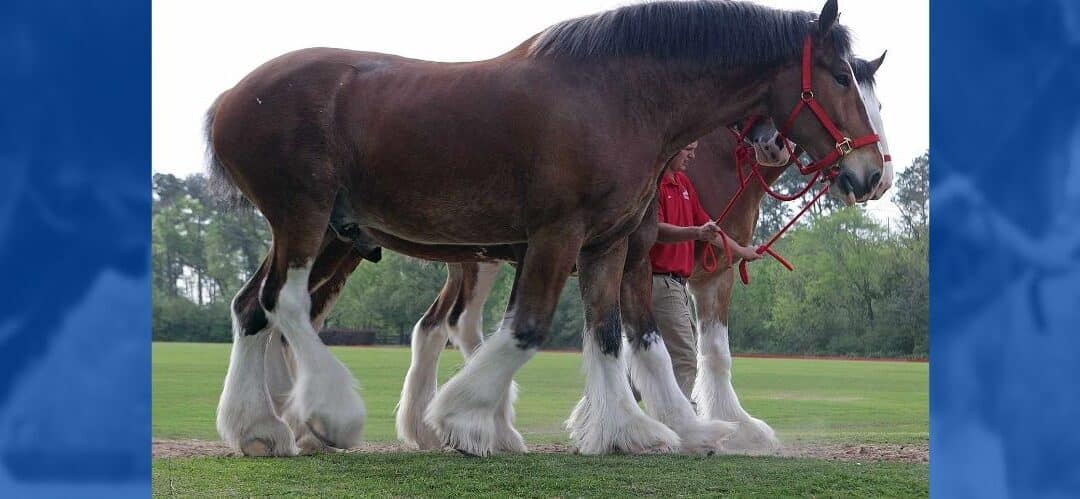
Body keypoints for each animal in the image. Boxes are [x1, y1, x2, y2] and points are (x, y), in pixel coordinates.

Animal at [208, 0, 876, 457]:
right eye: (843, 77)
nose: (870, 173)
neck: (617, 95)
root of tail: (230, 98)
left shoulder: (607, 244)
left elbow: (613, 336)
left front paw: (631, 430)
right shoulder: (559, 236)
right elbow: (529, 328)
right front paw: (460, 417)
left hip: (324, 230)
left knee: (252, 307)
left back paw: (261, 427)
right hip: (306, 216)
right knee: (288, 304)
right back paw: (330, 413)